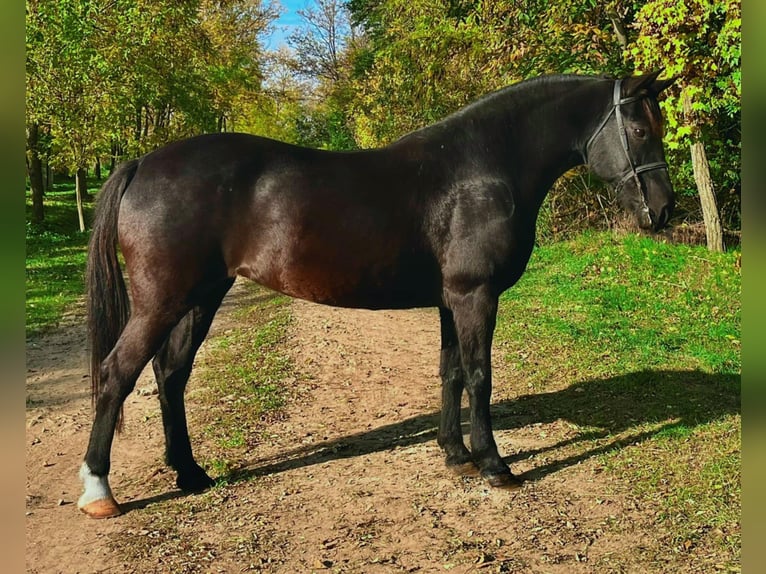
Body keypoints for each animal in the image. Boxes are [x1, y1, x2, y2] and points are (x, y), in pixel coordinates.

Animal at [79, 71, 680, 516]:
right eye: (641, 129)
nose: (665, 209)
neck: (481, 169)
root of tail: (142, 163)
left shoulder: (450, 300)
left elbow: (450, 372)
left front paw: (455, 456)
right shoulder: (475, 296)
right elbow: (480, 375)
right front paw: (493, 465)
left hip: (202, 296)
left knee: (170, 375)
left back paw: (189, 473)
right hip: (163, 300)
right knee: (117, 375)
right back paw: (99, 491)